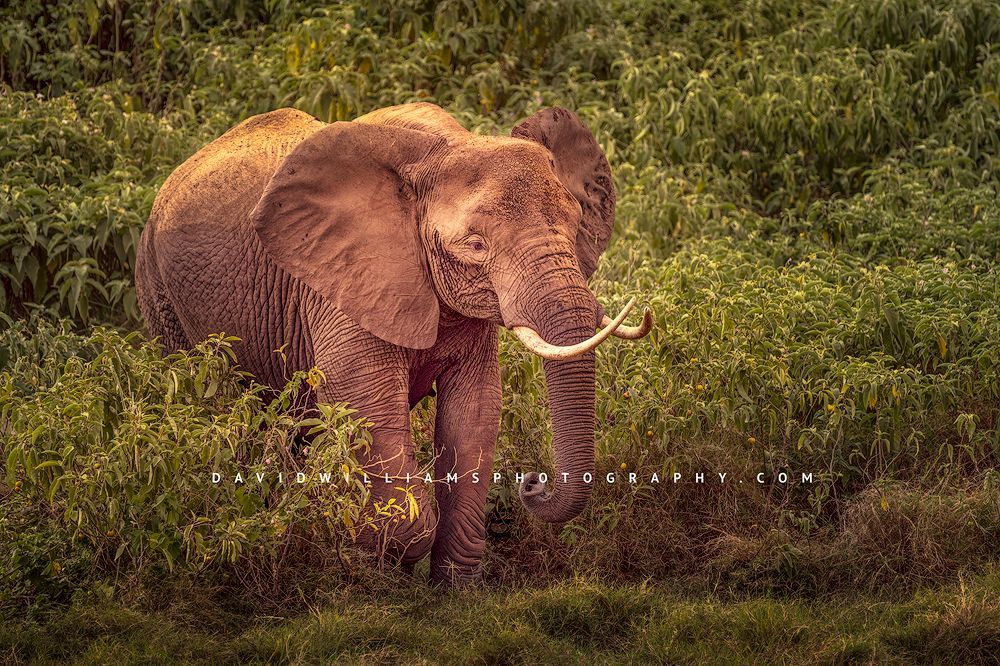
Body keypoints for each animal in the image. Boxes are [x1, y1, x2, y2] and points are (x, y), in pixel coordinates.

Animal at [134, 102, 652, 585]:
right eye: (475, 245)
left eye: (574, 222)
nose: (531, 483)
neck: (445, 147)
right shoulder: (341, 284)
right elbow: (365, 403)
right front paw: (378, 563)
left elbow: (475, 412)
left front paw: (454, 591)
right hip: (159, 293)